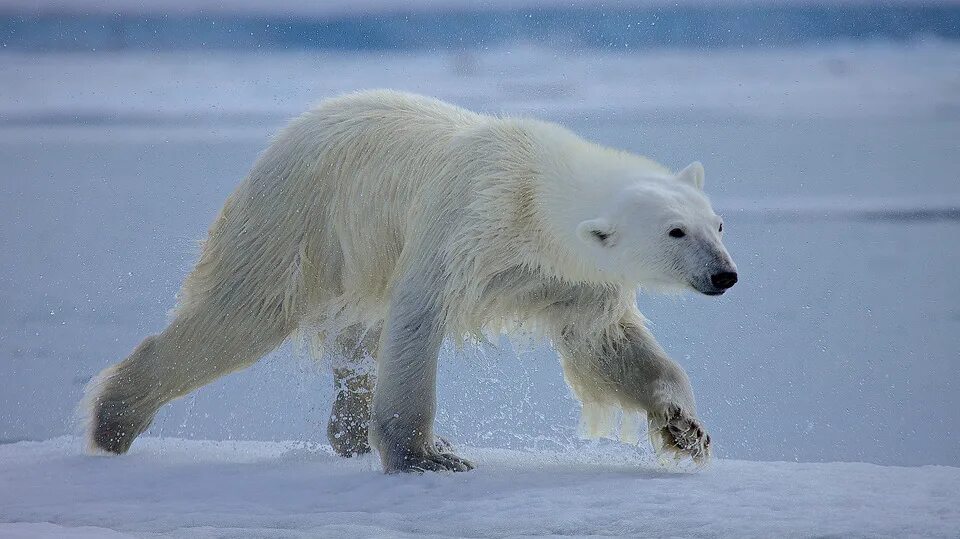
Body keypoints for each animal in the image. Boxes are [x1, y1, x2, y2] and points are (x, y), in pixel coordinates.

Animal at [86, 90, 740, 474]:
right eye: (676, 231)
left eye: (717, 223)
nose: (725, 274)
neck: (534, 190)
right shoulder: (471, 223)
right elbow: (419, 316)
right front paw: (424, 456)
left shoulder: (567, 276)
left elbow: (608, 345)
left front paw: (686, 429)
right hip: (300, 221)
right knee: (241, 315)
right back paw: (114, 421)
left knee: (352, 337)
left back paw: (347, 429)